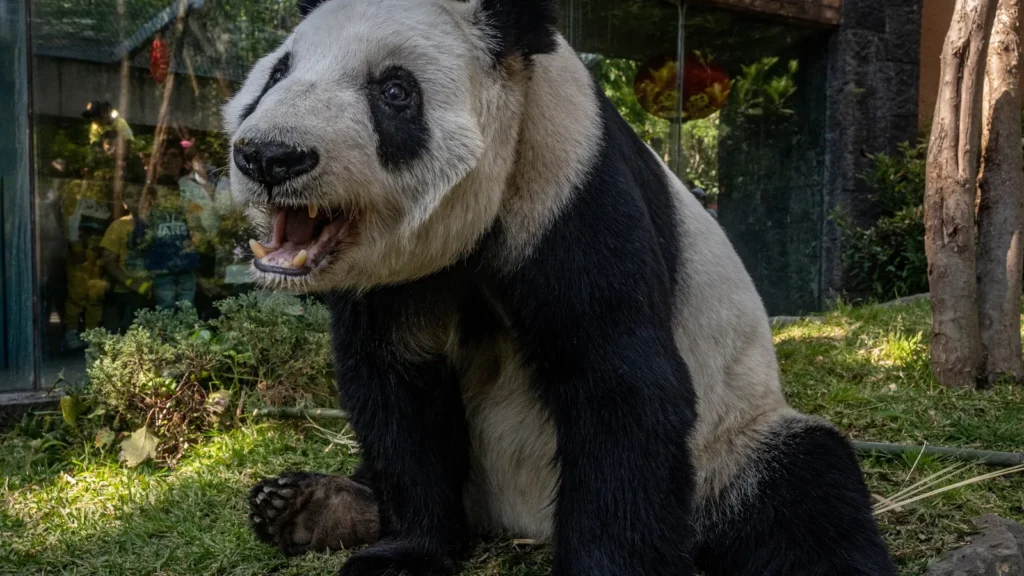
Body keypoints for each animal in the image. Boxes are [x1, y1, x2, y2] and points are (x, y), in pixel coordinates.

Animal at [226, 0, 896, 574]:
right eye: (277, 72)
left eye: (394, 90)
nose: (271, 155)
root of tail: (516, 521)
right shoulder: (396, 277)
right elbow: (397, 389)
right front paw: (401, 554)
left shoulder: (569, 185)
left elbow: (619, 383)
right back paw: (305, 506)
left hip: (729, 443)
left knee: (804, 490)